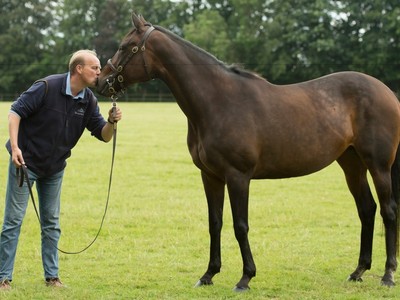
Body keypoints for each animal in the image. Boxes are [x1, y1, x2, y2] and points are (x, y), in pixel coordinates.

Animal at [97, 12, 400, 290]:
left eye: (126, 46)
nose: (101, 81)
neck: (218, 102)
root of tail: (386, 91)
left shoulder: (238, 176)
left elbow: (240, 225)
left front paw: (245, 278)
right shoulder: (210, 176)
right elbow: (215, 223)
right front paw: (208, 274)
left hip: (379, 165)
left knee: (388, 211)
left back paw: (387, 275)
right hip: (351, 164)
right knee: (367, 209)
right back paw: (358, 271)